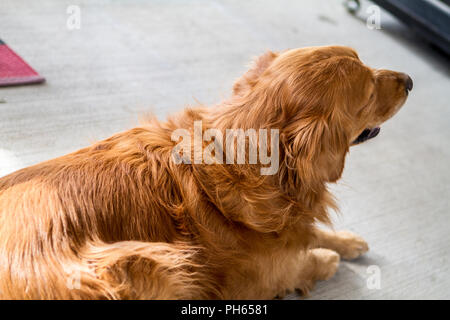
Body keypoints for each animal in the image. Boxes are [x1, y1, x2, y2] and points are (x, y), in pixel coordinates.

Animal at [0, 46, 414, 298]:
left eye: (368, 63)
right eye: (369, 93)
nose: (410, 80)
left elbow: (311, 232)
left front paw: (346, 240)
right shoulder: (256, 281)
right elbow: (301, 264)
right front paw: (326, 258)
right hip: (146, 264)